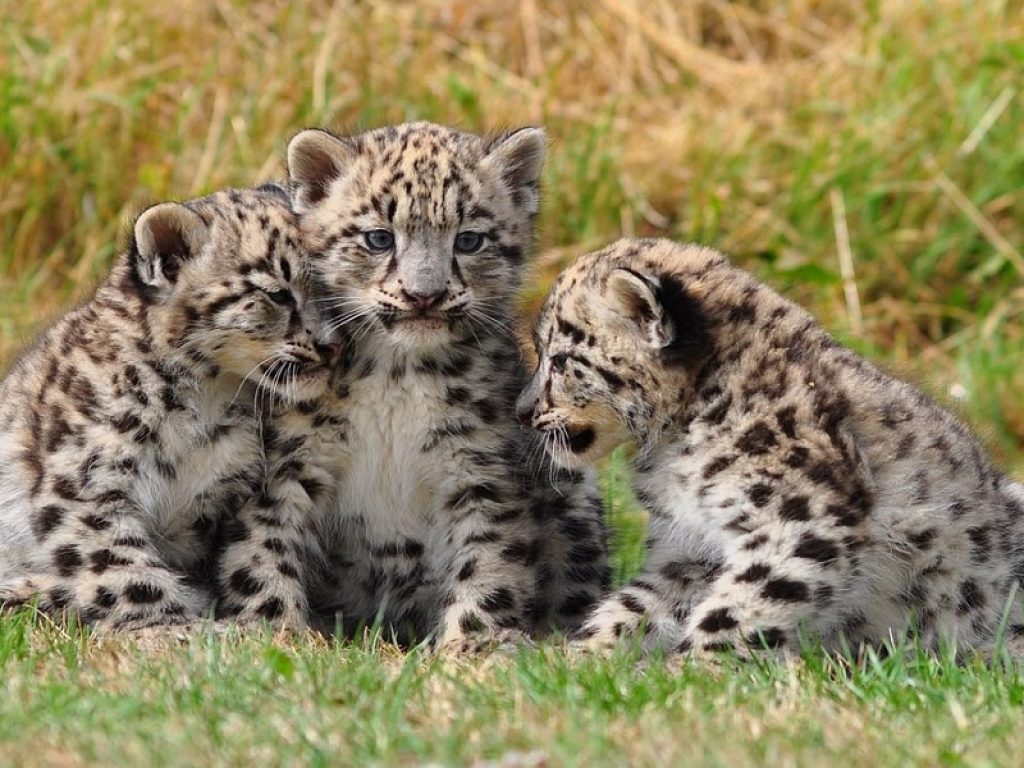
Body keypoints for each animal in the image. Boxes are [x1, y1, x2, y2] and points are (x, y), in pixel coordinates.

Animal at [0, 184, 337, 631]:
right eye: (278, 293)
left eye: (333, 290)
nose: (333, 345)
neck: (204, 399)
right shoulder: (85, 485)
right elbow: (125, 571)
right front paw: (181, 629)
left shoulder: (230, 494)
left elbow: (254, 556)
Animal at [220, 121, 611, 647]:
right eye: (379, 238)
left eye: (469, 240)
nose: (424, 295)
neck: (396, 373)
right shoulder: (287, 463)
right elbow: (263, 549)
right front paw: (271, 629)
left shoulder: (480, 471)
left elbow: (489, 560)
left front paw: (471, 644)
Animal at [517, 236, 1024, 657]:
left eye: (560, 359)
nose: (522, 410)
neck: (672, 452)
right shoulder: (692, 549)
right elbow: (638, 604)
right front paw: (580, 658)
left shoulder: (800, 521)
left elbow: (740, 608)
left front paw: (691, 670)